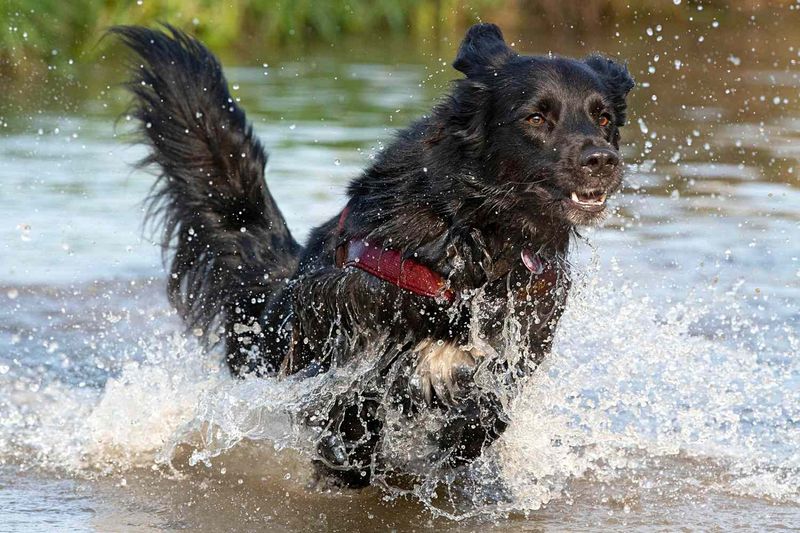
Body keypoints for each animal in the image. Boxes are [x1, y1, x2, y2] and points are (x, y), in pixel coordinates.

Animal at [112, 22, 636, 484]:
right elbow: (352, 408)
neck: (474, 239)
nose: (602, 160)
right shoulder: (349, 329)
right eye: (535, 118)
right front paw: (349, 464)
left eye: (603, 118)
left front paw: (457, 448)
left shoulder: (517, 345)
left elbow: (489, 412)